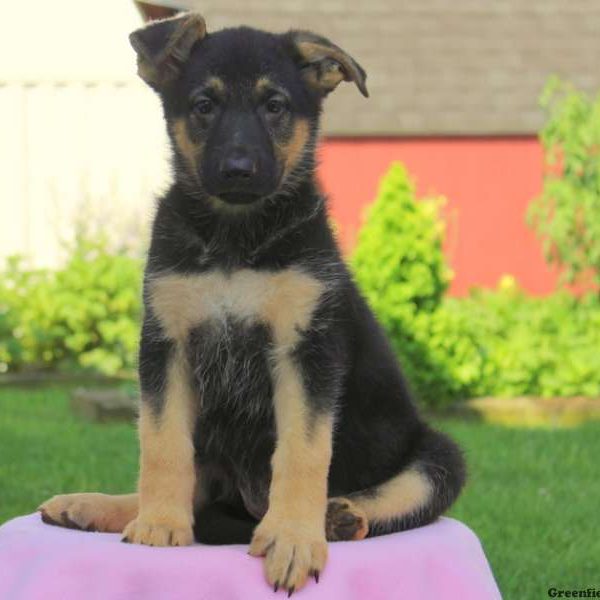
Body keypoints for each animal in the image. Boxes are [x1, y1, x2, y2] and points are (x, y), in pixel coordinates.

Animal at [39, 14, 466, 596]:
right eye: (204, 104)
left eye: (275, 105)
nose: (238, 169)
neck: (235, 238)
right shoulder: (166, 345)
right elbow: (161, 443)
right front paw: (158, 524)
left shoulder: (305, 350)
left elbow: (303, 452)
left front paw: (293, 538)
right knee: (195, 488)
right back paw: (97, 507)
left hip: (440, 452)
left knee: (409, 488)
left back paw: (341, 516)